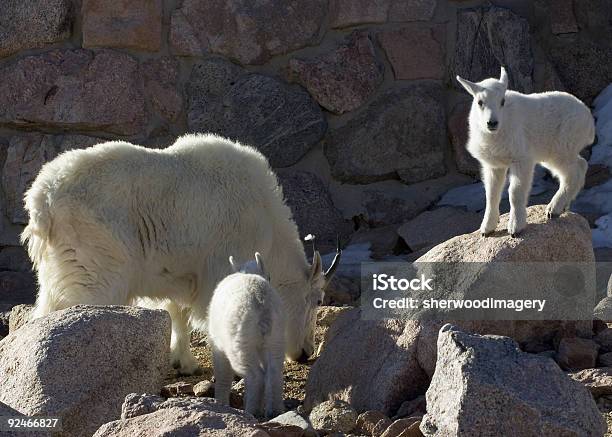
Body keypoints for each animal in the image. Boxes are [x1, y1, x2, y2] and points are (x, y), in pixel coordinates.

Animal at [21, 134, 342, 374]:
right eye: (317, 300)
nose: (305, 353)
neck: (268, 226)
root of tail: (42, 202)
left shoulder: (181, 273)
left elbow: (178, 312)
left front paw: (184, 363)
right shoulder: (222, 267)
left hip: (59, 270)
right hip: (96, 271)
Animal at [209, 254, 286, 418]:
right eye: (269, 275)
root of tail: (262, 306)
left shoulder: (217, 343)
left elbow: (223, 374)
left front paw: (221, 404)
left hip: (240, 340)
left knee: (254, 375)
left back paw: (251, 411)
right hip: (276, 336)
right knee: (274, 371)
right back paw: (274, 411)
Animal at [460, 67, 592, 237]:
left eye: (502, 101)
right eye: (479, 102)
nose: (492, 123)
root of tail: (589, 120)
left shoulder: (521, 159)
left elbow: (515, 192)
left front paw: (515, 228)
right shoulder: (494, 165)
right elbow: (491, 194)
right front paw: (487, 228)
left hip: (562, 147)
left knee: (573, 172)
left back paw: (553, 209)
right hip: (554, 152)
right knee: (580, 165)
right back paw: (563, 206)